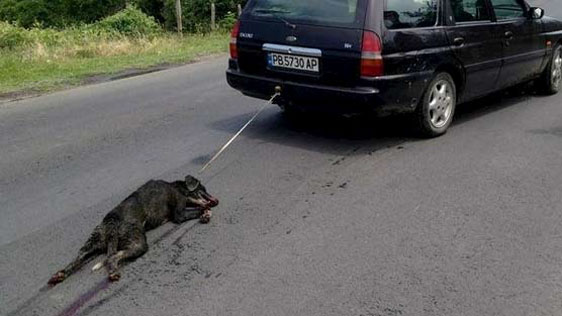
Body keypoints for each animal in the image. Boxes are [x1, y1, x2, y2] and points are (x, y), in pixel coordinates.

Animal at [47, 174, 218, 286]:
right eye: (204, 189)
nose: (216, 200)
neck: (178, 187)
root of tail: (112, 223)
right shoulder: (179, 214)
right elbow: (200, 208)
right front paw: (206, 213)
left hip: (92, 243)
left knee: (78, 259)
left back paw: (60, 275)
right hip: (137, 243)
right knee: (113, 257)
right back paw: (113, 273)